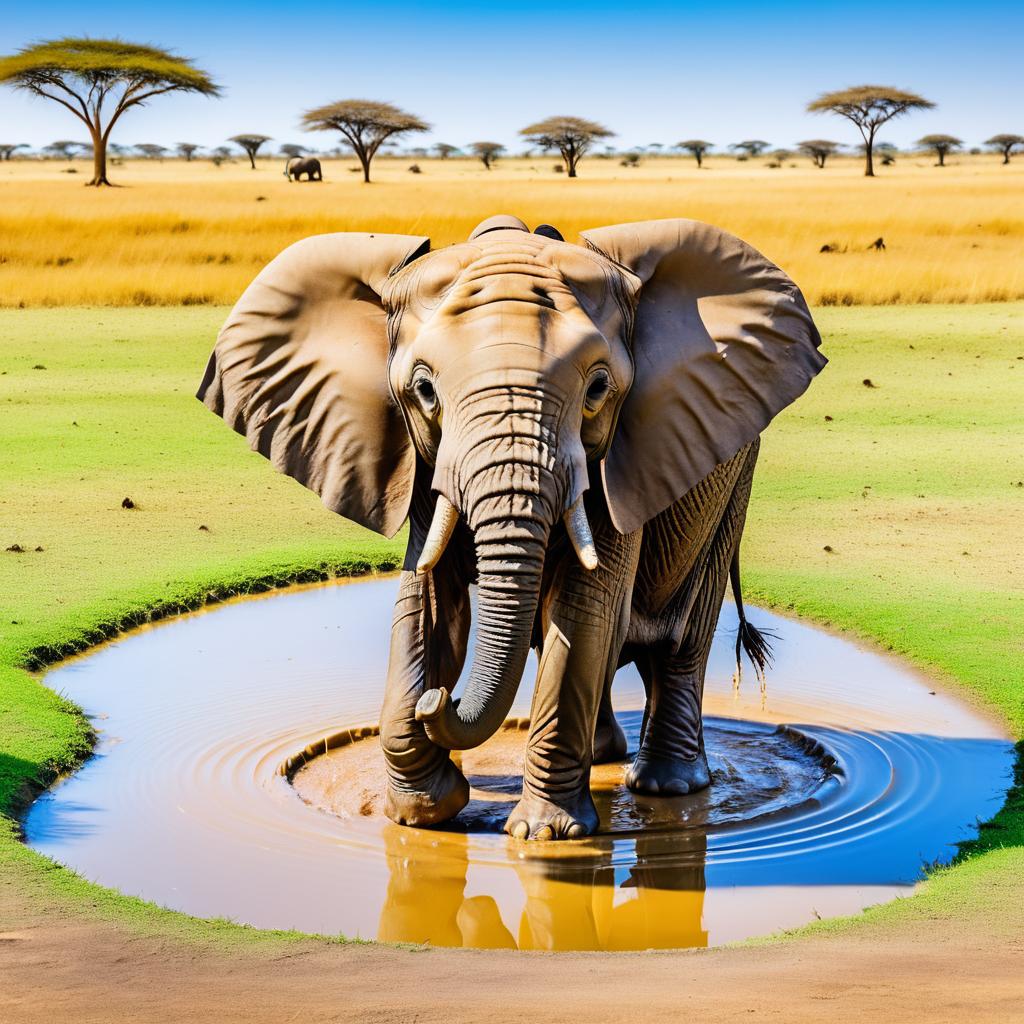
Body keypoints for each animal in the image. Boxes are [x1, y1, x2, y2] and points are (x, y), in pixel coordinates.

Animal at [197, 214, 823, 839]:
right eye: (424, 390)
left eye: (598, 389)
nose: (439, 698)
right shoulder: (424, 462)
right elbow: (427, 601)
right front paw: (422, 812)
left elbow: (587, 609)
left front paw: (543, 835)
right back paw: (603, 757)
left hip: (734, 476)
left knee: (680, 635)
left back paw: (666, 787)